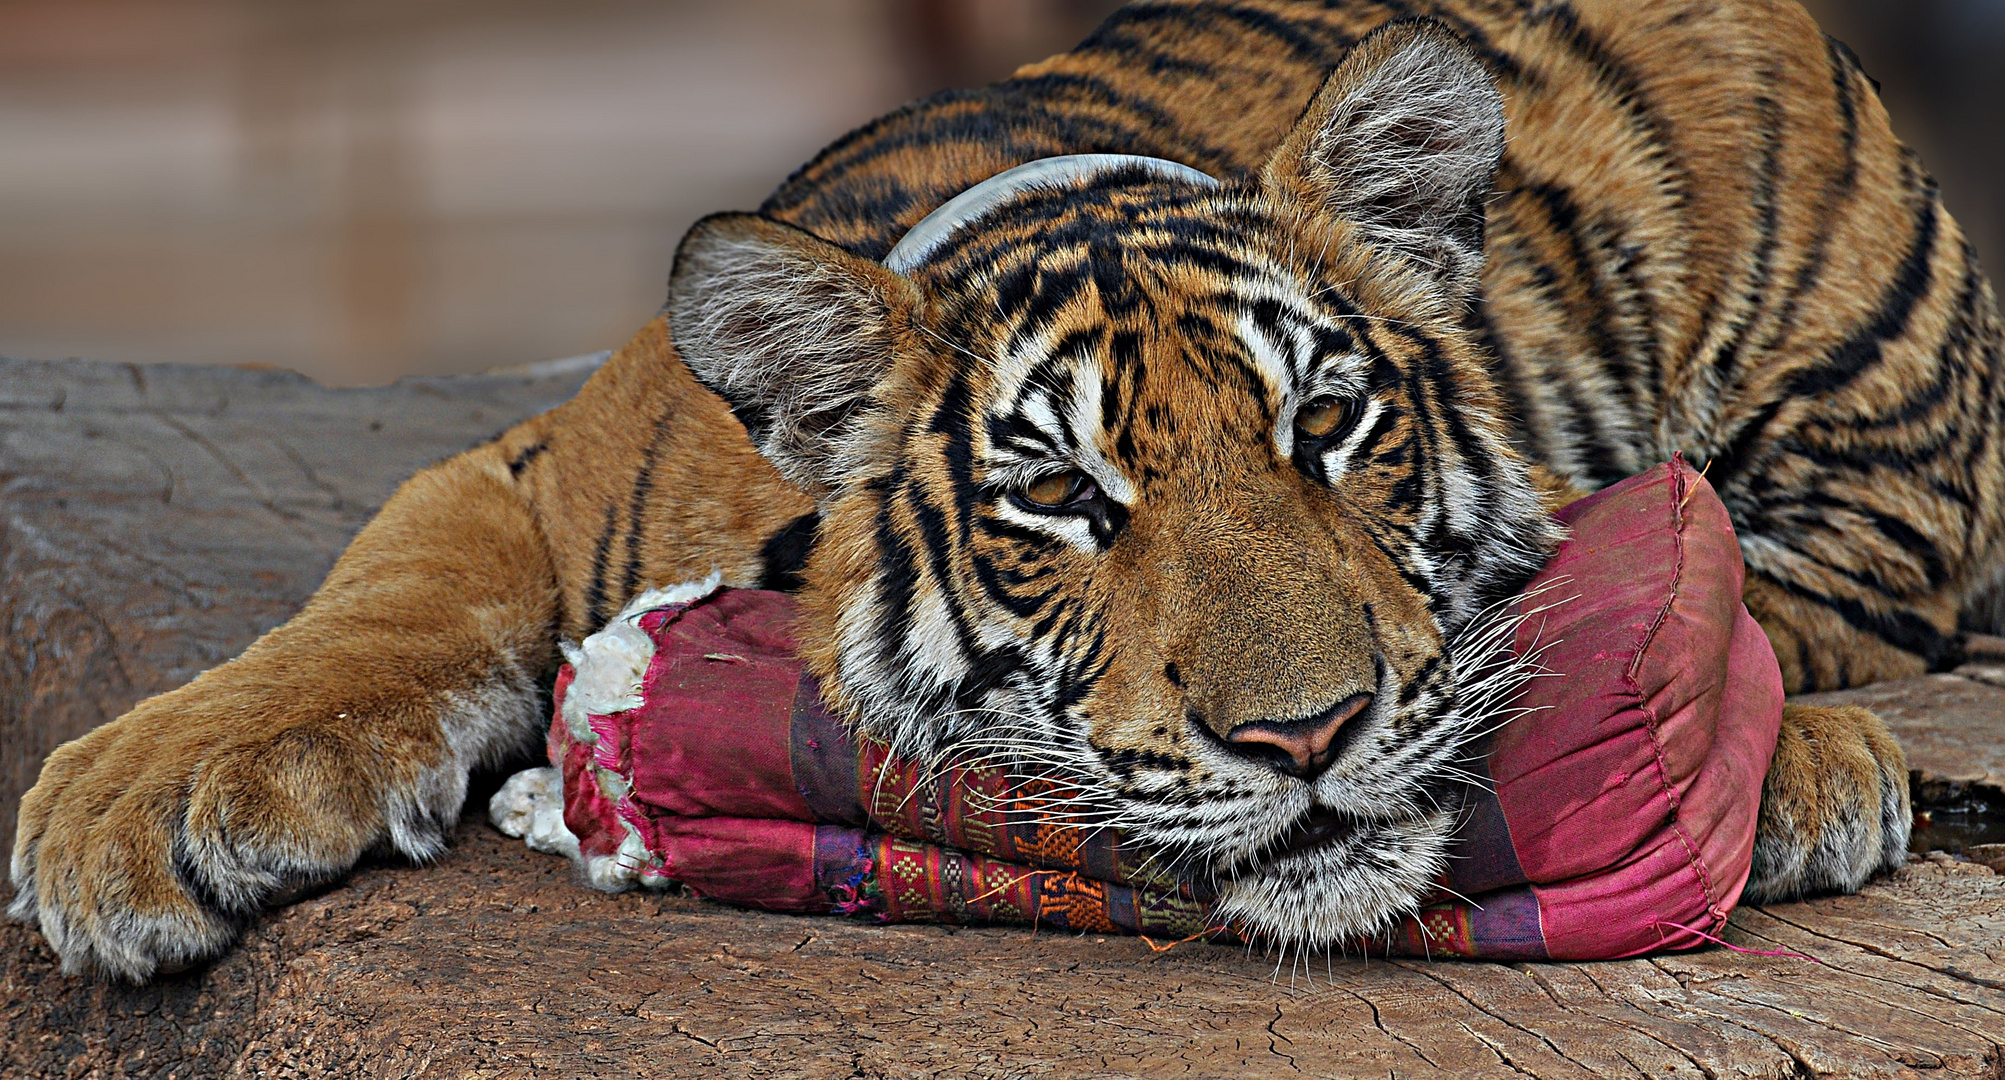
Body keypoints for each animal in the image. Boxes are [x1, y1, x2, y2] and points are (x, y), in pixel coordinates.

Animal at [11, 0, 1988, 981]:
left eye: (1329, 420)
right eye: (1059, 496)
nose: (1310, 735)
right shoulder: (519, 473)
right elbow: (381, 600)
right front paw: (127, 809)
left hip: (1878, 445)